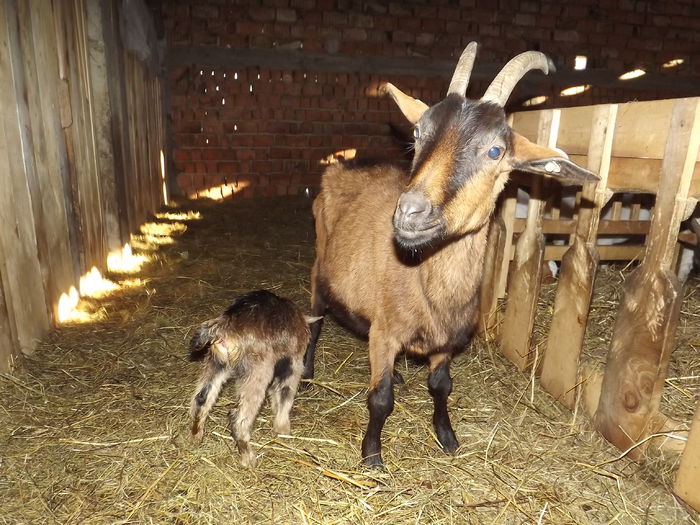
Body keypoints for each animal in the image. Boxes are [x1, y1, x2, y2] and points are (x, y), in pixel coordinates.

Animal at [302, 42, 596, 466]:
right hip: (319, 264)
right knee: (315, 318)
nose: (409, 212)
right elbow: (380, 398)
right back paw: (306, 373)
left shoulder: (445, 343)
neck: (424, 282)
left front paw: (447, 436)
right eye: (418, 132)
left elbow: (441, 385)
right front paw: (371, 454)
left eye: (495, 150)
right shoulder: (386, 331)